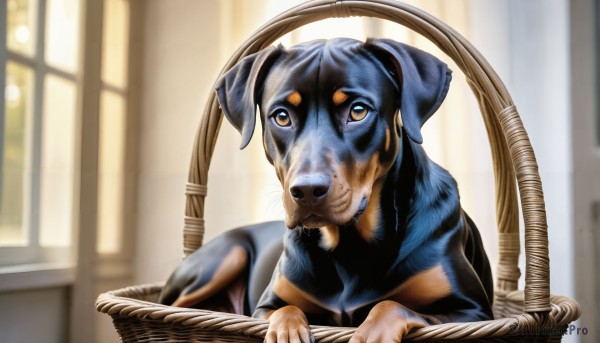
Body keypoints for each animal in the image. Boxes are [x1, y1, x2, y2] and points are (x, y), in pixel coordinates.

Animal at [159, 38, 492, 343]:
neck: (348, 246)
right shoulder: (265, 307)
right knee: (169, 305)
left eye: (358, 111)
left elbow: (392, 305)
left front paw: (371, 335)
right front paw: (287, 332)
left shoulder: (473, 312)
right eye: (281, 116)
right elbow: (286, 309)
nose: (307, 191)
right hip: (226, 255)